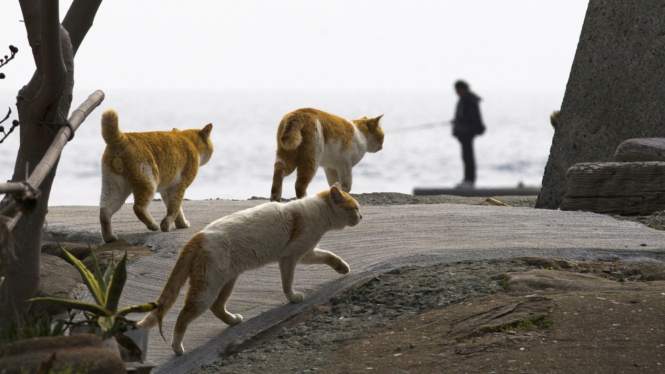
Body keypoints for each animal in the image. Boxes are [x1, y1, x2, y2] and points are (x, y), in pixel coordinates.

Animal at [98, 109, 213, 243]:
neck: (189, 141)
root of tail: (122, 138)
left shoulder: (167, 190)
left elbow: (177, 209)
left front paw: (181, 224)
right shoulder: (179, 186)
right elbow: (174, 208)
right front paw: (166, 225)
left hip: (114, 187)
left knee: (105, 211)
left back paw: (109, 237)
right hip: (148, 183)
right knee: (138, 208)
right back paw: (153, 225)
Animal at [137, 183, 360, 356]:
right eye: (355, 208)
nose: (362, 216)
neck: (317, 210)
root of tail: (198, 236)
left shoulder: (306, 253)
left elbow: (328, 255)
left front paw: (342, 268)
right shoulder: (290, 257)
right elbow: (287, 282)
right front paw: (293, 298)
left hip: (227, 280)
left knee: (216, 307)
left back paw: (233, 320)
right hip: (207, 287)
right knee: (184, 315)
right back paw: (177, 347)